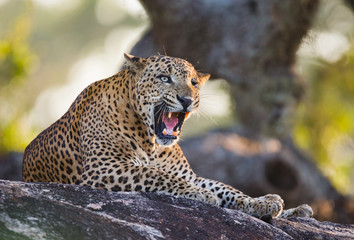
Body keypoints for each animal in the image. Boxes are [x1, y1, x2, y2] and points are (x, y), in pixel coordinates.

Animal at [22, 53, 312, 218]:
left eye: (193, 82)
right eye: (164, 78)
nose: (187, 100)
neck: (151, 142)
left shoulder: (188, 174)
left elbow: (224, 187)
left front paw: (255, 203)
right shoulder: (103, 168)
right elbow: (156, 175)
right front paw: (201, 195)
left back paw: (288, 207)